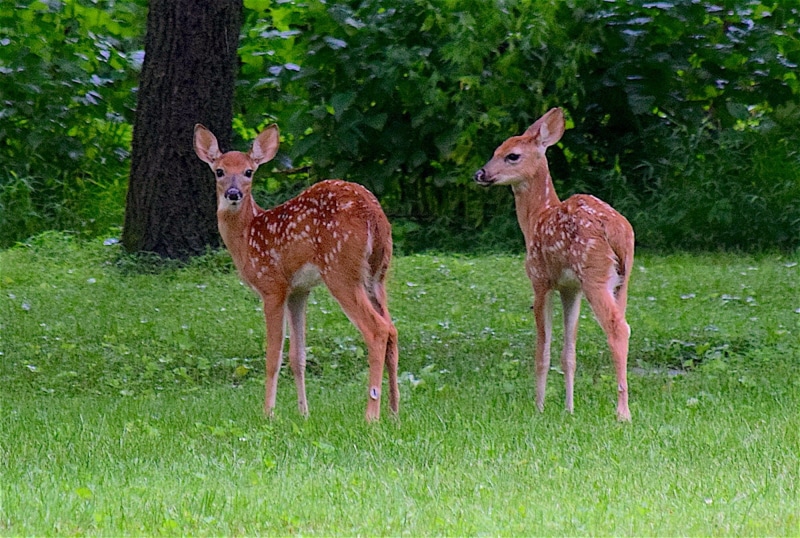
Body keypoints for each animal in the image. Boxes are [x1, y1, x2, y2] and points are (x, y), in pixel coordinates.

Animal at [193, 123, 399, 421]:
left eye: (248, 172)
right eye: (219, 171)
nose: (233, 194)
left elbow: (273, 355)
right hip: (378, 275)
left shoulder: (272, 285)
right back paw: (394, 412)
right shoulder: (298, 290)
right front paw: (304, 413)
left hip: (341, 271)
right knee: (393, 328)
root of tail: (373, 214)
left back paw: (371, 415)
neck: (248, 237)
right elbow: (297, 356)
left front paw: (268, 413)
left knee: (377, 329)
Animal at [473, 108, 634, 421]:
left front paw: (539, 407)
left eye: (512, 155)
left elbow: (542, 351)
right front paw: (569, 408)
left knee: (618, 328)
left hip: (595, 273)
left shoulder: (540, 280)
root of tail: (616, 230)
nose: (481, 174)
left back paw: (623, 412)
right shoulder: (570, 288)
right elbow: (568, 353)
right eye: (495, 151)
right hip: (622, 281)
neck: (536, 219)